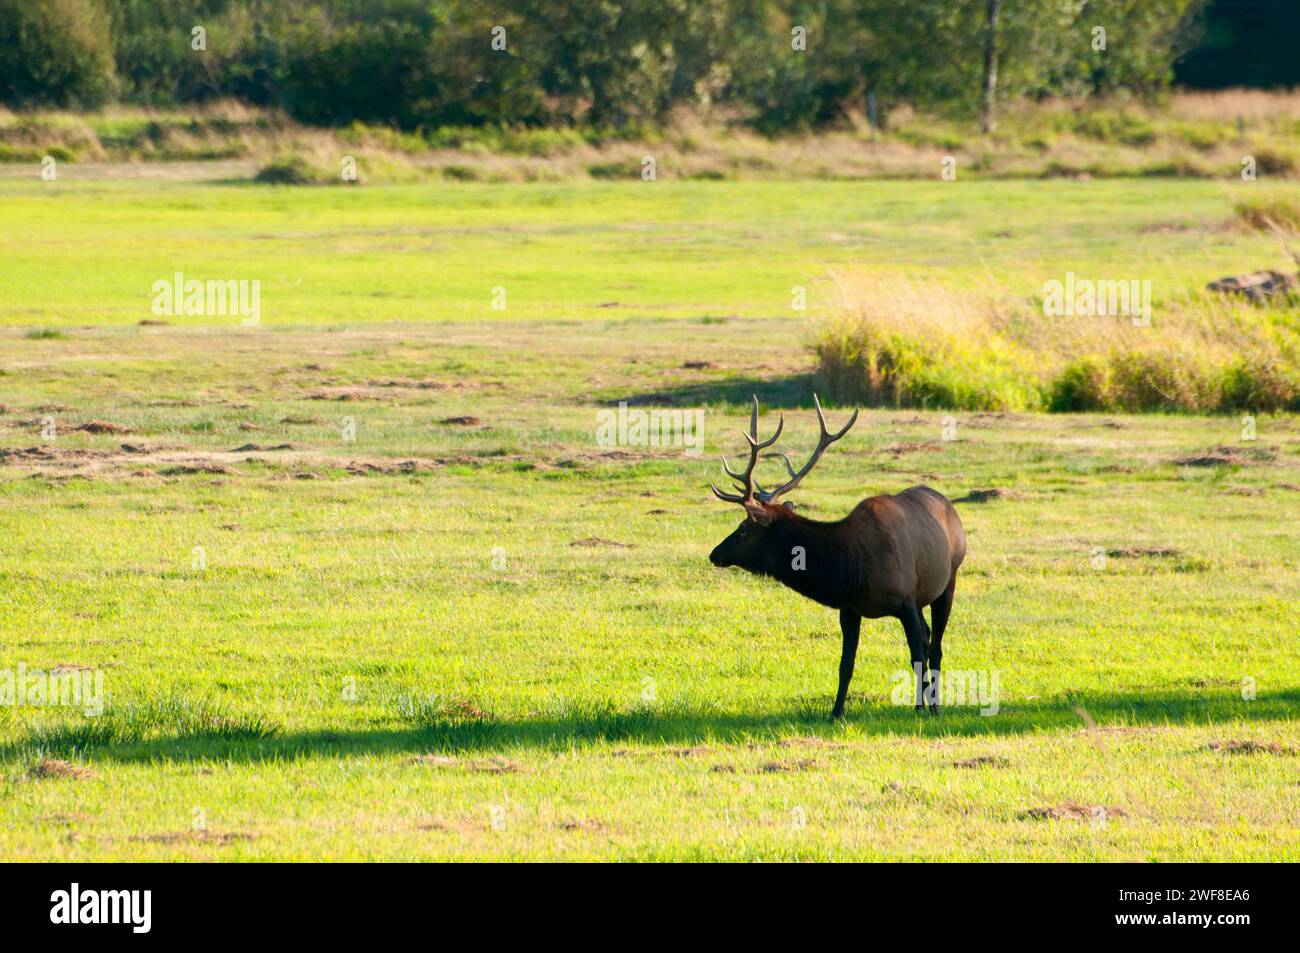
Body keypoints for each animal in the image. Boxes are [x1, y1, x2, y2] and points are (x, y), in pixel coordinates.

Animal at [708, 395, 966, 719]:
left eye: (743, 528)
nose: (714, 554)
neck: (854, 568)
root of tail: (951, 508)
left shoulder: (905, 600)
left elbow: (917, 654)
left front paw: (923, 709)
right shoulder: (850, 608)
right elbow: (846, 664)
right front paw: (836, 712)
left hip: (948, 581)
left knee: (936, 647)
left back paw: (934, 707)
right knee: (929, 636)